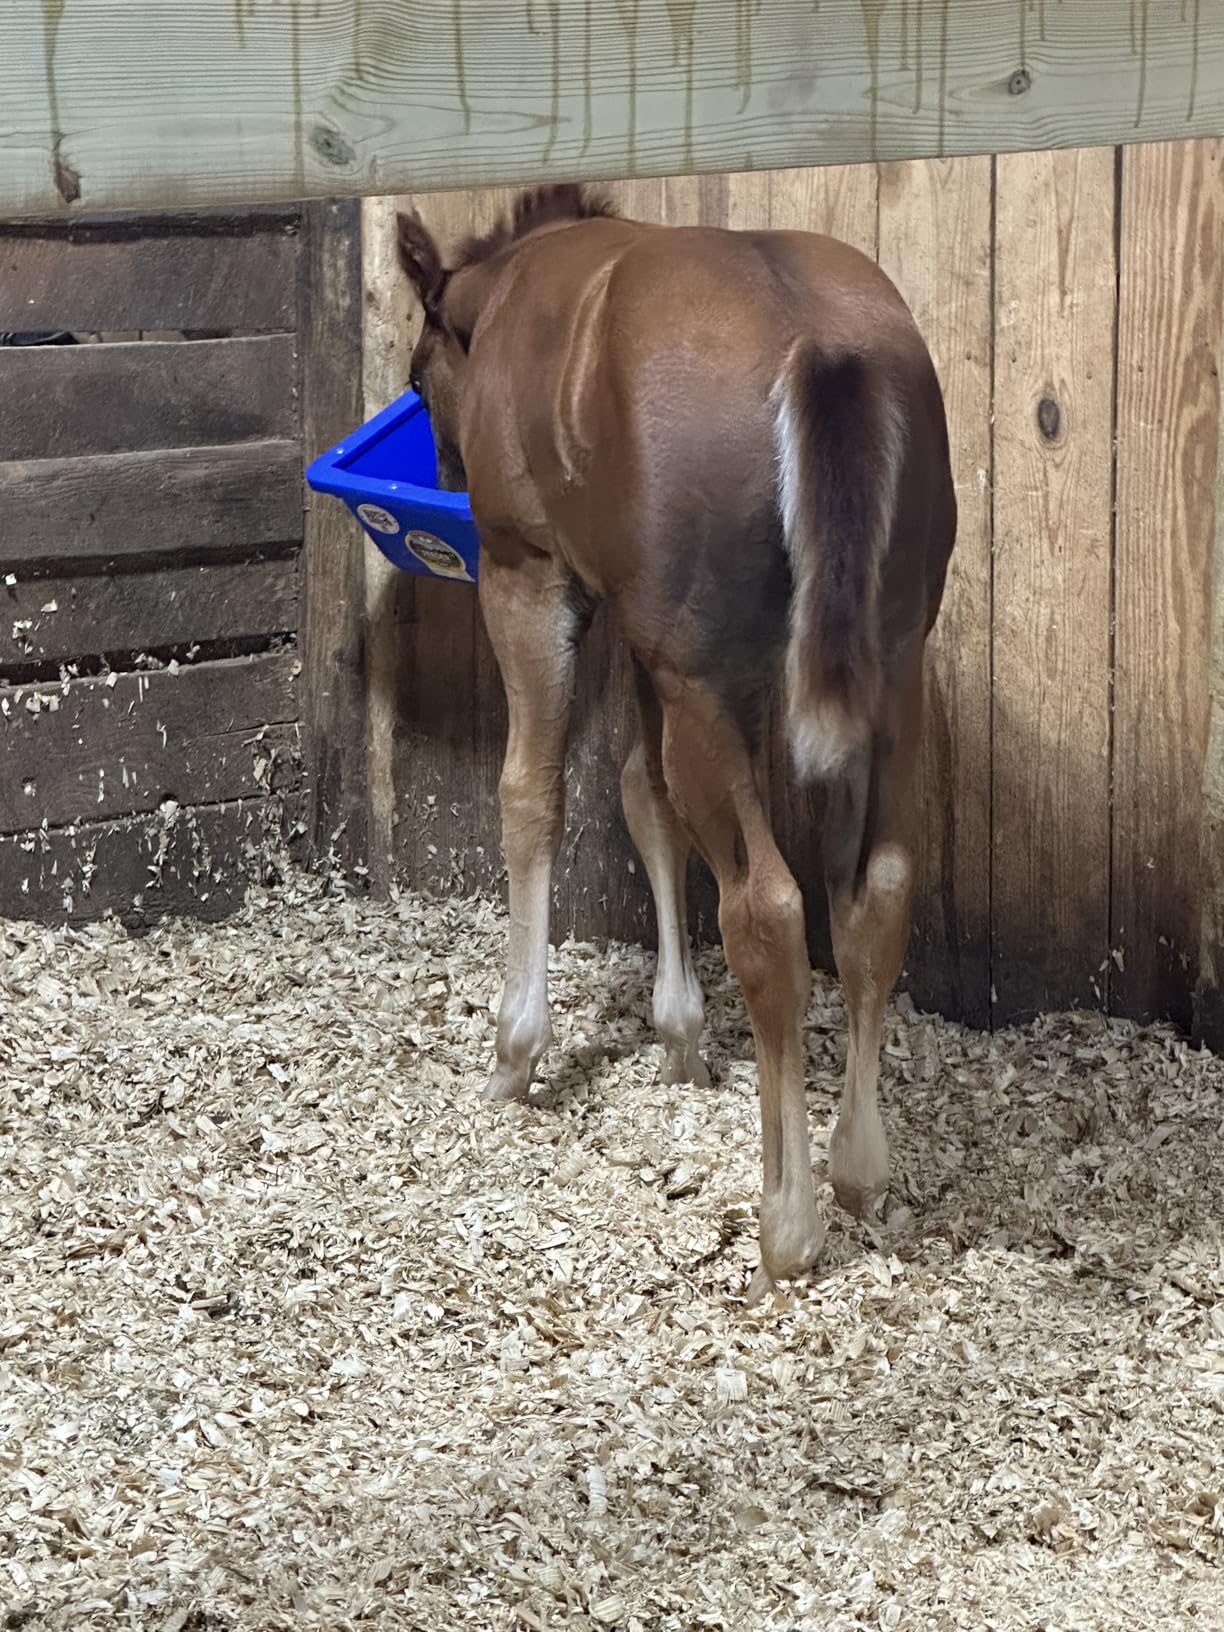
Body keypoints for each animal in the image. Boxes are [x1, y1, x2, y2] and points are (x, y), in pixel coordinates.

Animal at [396, 184, 956, 1301]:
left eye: (417, 375)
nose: (444, 466)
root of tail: (819, 344)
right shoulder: (646, 634)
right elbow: (642, 795)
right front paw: (681, 1036)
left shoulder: (532, 577)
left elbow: (533, 794)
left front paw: (516, 1048)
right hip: (886, 669)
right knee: (876, 888)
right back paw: (858, 1169)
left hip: (703, 680)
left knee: (769, 909)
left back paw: (786, 1224)